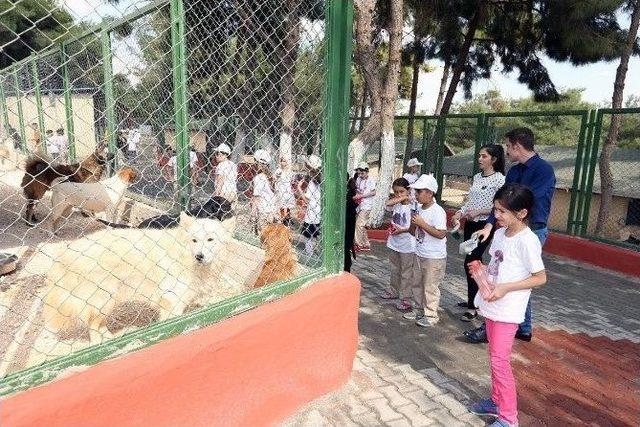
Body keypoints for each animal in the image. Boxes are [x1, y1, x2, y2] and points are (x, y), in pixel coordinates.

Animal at [42, 212, 238, 342]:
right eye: (194, 240)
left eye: (211, 240)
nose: (199, 256)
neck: (184, 256)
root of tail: (66, 254)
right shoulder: (171, 300)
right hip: (103, 299)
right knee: (93, 328)